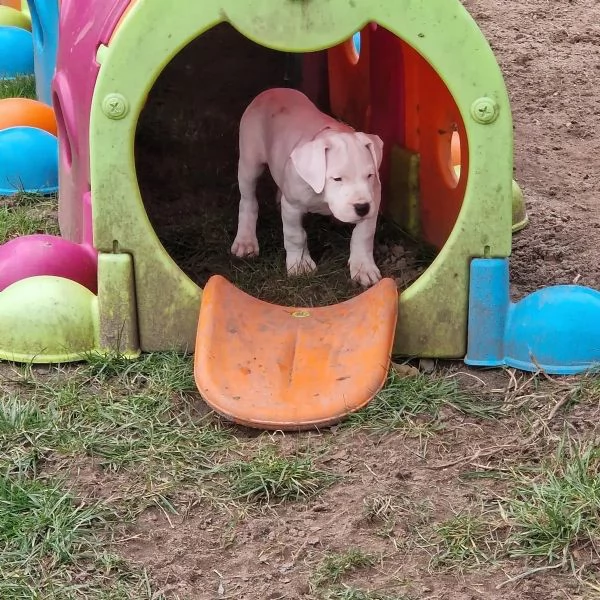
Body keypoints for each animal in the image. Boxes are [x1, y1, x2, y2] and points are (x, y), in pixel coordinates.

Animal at [230, 86, 384, 288]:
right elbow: (295, 235)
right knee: (248, 201)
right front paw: (299, 265)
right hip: (250, 162)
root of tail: (272, 90)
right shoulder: (292, 206)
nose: (362, 208)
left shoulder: (374, 199)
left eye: (370, 175)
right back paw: (245, 240)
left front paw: (363, 267)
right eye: (337, 178)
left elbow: (363, 235)